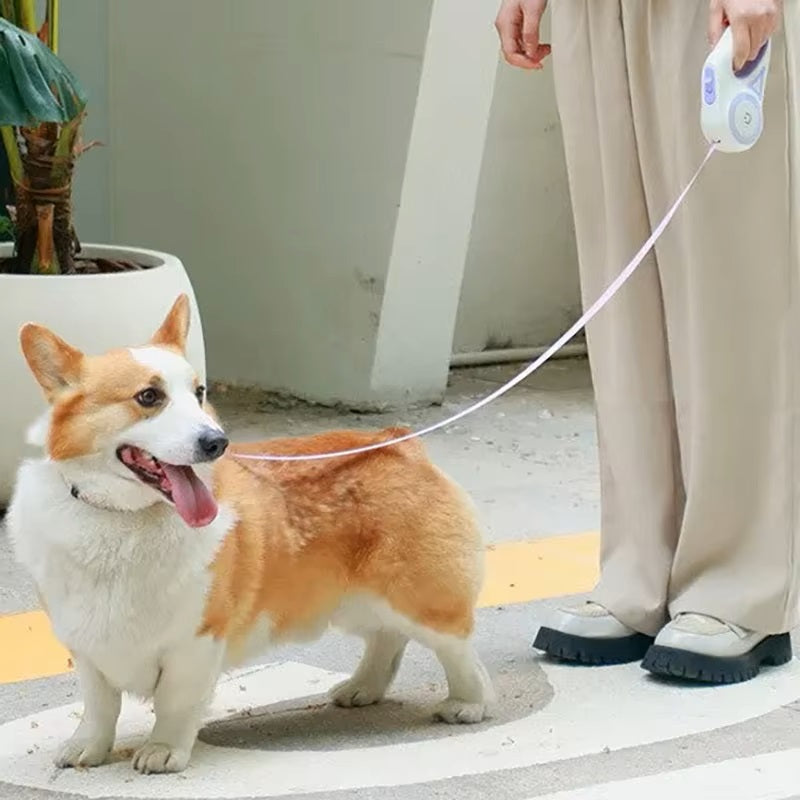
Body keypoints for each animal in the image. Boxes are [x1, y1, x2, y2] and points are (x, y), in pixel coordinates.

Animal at [7, 296, 494, 776]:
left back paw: (468, 704)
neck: (126, 518)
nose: (216, 442)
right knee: (386, 638)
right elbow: (99, 707)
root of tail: (400, 442)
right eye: (149, 396)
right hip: (350, 601)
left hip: (417, 600)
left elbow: (175, 704)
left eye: (199, 393)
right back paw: (362, 688)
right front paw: (87, 749)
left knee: (457, 649)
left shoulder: (196, 641)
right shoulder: (87, 646)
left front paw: (163, 750)